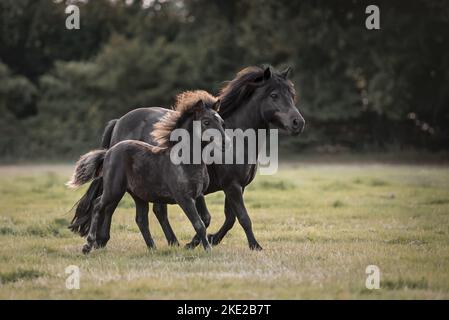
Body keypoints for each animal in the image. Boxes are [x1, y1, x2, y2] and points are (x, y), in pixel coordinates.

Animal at [67, 95, 224, 252]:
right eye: (206, 122)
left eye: (221, 121)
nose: (224, 143)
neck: (185, 160)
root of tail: (108, 152)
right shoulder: (184, 198)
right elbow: (199, 223)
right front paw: (207, 250)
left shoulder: (198, 194)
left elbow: (205, 219)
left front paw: (197, 245)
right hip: (114, 189)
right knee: (98, 206)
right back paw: (89, 244)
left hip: (138, 195)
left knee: (140, 218)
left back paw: (152, 248)